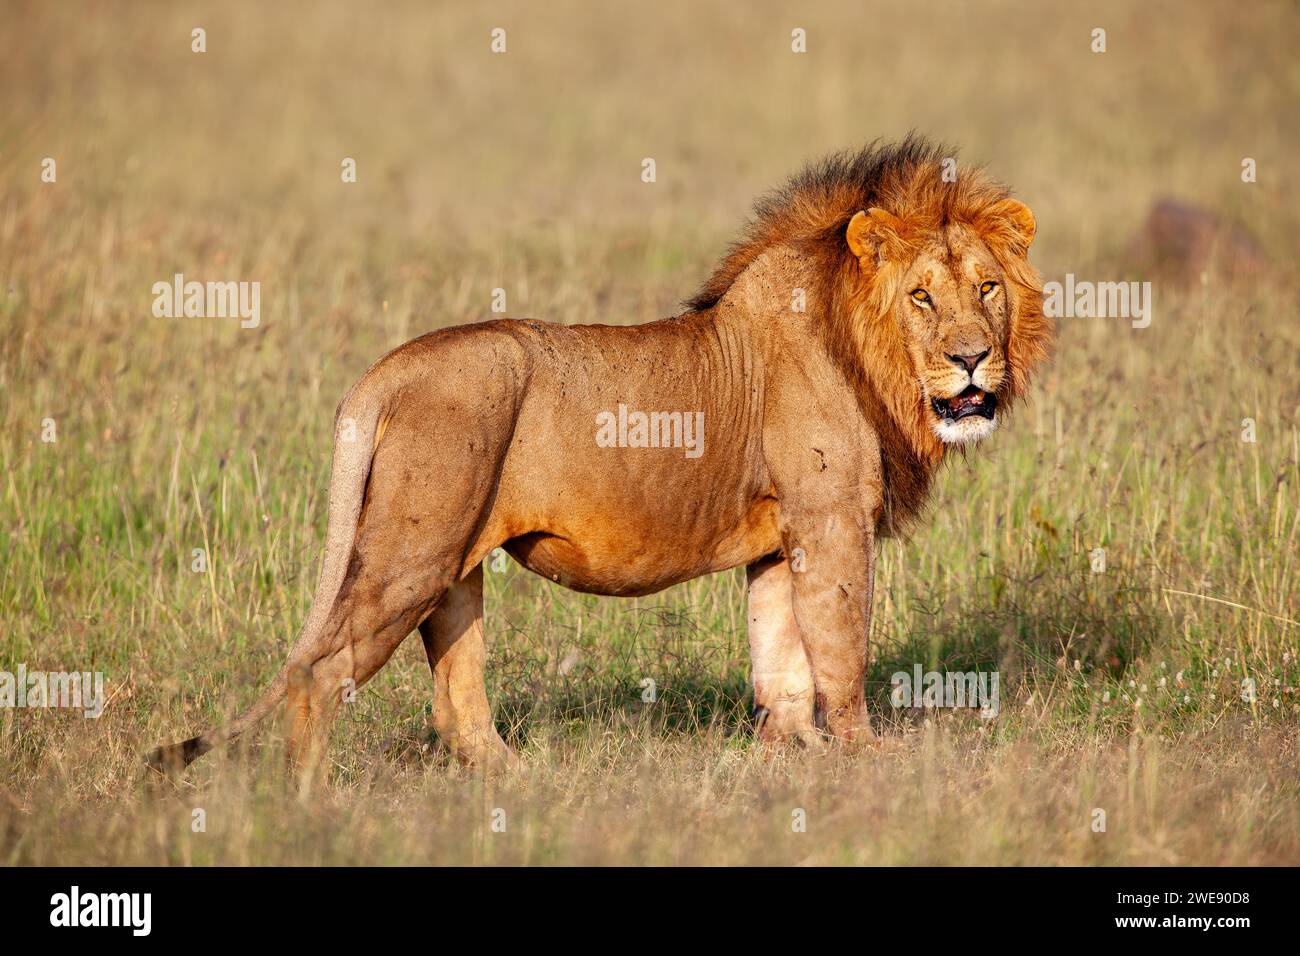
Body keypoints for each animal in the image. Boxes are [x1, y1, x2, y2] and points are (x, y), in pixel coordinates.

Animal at [149, 136, 1045, 780]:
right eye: (922, 297)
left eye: (988, 289)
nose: (972, 360)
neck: (862, 347)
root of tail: (385, 372)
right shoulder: (831, 521)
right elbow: (841, 644)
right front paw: (865, 756)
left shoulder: (781, 535)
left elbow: (781, 655)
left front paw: (794, 752)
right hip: (414, 549)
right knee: (319, 672)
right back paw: (315, 803)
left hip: (456, 565)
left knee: (456, 698)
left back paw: (519, 779)